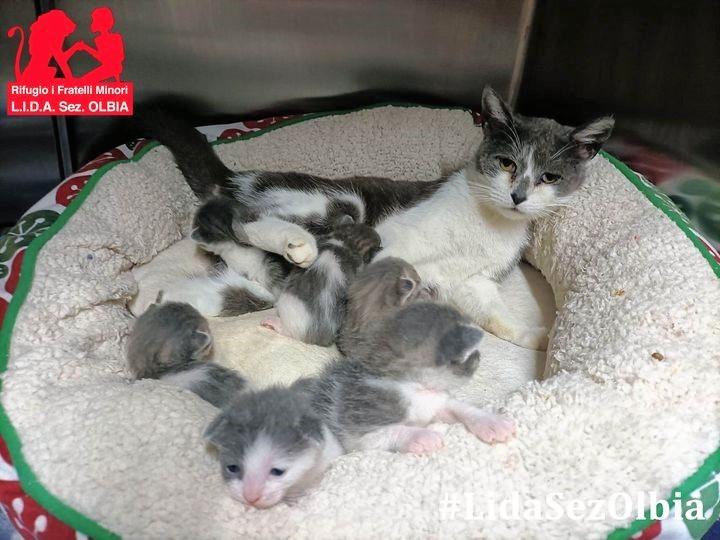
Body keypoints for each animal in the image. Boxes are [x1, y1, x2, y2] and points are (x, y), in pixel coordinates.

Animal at [147, 87, 613, 349]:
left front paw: (537, 339)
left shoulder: (473, 281)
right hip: (339, 203)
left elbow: (491, 313)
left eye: (550, 177)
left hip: (256, 270)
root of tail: (240, 176)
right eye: (506, 163)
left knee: (230, 255)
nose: (518, 196)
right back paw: (295, 244)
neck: (487, 223)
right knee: (237, 220)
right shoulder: (391, 234)